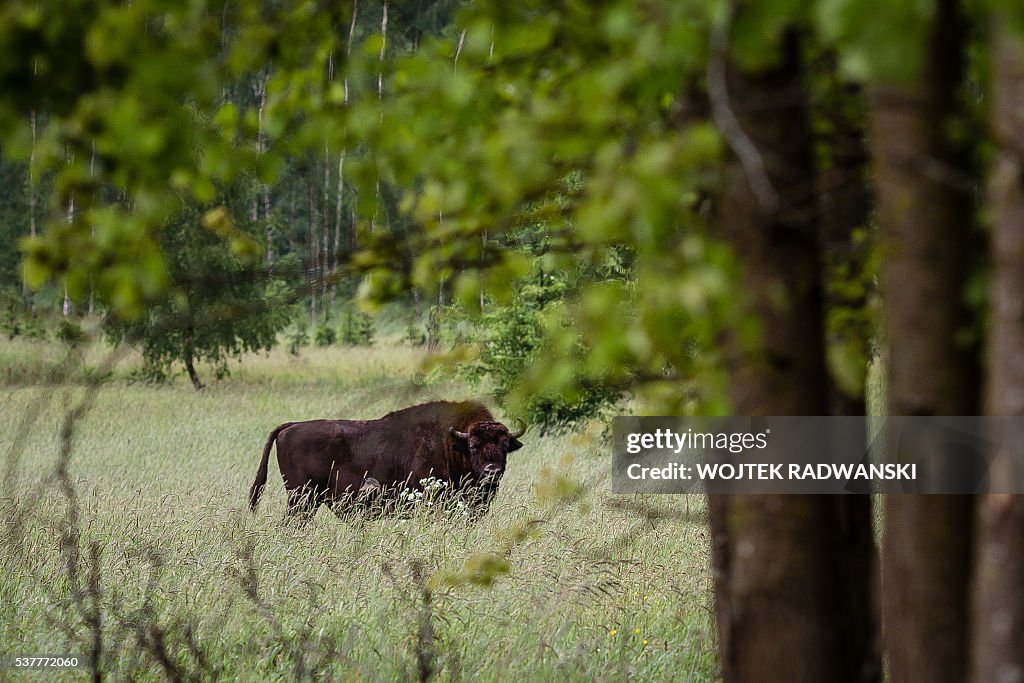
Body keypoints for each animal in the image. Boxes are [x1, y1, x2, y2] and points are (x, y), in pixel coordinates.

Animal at [245, 397, 520, 520]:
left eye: (505, 446)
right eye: (473, 445)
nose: (493, 472)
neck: (452, 443)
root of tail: (291, 427)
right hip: (302, 499)